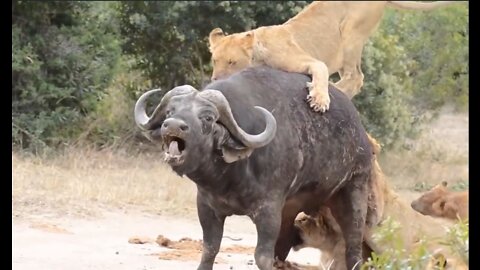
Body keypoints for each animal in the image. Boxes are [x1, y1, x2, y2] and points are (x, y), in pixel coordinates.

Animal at [134, 66, 376, 270]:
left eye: (208, 118)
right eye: (169, 112)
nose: (173, 125)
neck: (228, 178)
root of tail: (360, 132)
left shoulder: (268, 211)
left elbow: (262, 257)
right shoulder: (206, 205)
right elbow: (209, 249)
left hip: (355, 189)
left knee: (353, 248)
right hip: (291, 208)